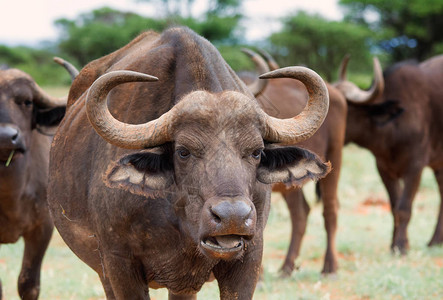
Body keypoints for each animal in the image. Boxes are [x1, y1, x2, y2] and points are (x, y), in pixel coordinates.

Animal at [46, 27, 332, 298]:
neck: (182, 223)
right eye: (183, 152)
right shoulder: (119, 264)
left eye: (257, 152)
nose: (232, 217)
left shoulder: (249, 259)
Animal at [334, 54, 443, 253]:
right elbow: (394, 207)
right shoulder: (384, 169)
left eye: (340, 105)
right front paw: (394, 244)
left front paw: (401, 246)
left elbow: (404, 208)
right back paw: (436, 240)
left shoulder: (415, 168)